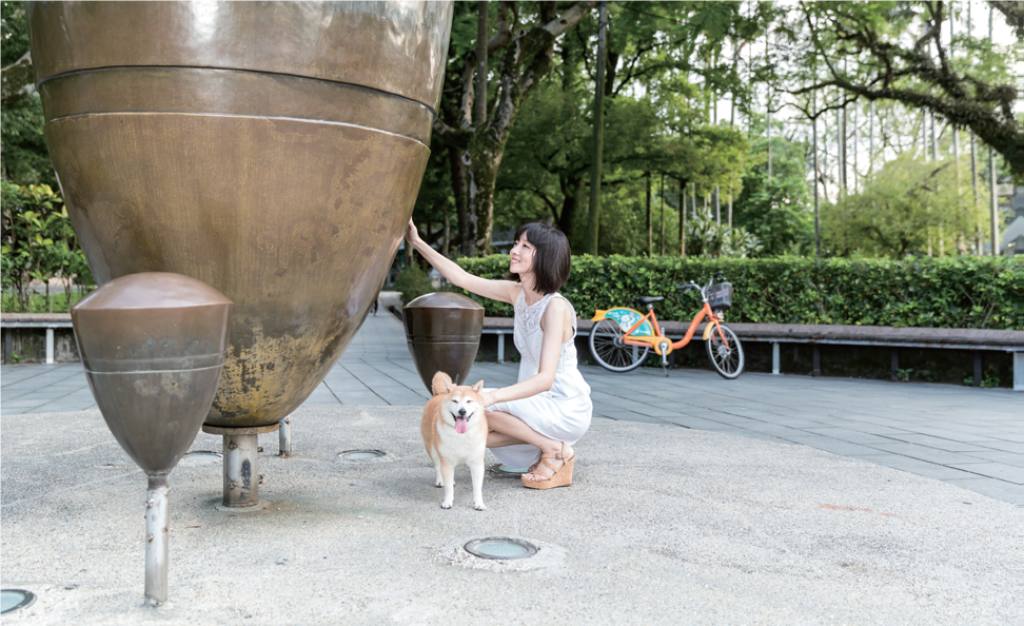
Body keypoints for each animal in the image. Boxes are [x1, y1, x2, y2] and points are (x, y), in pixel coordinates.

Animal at [421, 372, 489, 510]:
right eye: (455, 401)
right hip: (432, 449)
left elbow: (477, 487)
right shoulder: (446, 461)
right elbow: (448, 488)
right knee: (437, 466)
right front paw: (447, 501)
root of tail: (439, 394)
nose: (462, 411)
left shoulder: (477, 463)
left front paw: (479, 503)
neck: (462, 435)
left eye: (469, 401)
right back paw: (440, 480)